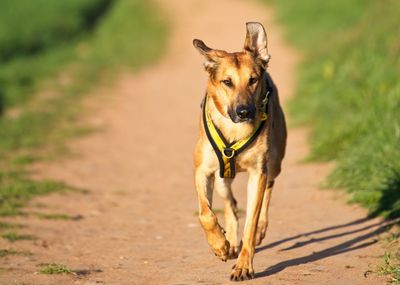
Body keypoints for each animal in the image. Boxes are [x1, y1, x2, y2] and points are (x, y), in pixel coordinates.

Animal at [192, 22, 286, 280]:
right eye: (227, 82)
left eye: (253, 80)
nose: (244, 112)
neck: (234, 129)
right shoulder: (202, 170)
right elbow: (205, 214)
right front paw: (219, 244)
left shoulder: (258, 173)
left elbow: (251, 223)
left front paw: (244, 265)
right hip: (222, 177)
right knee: (230, 203)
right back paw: (230, 242)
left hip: (274, 162)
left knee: (269, 188)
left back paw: (258, 229)